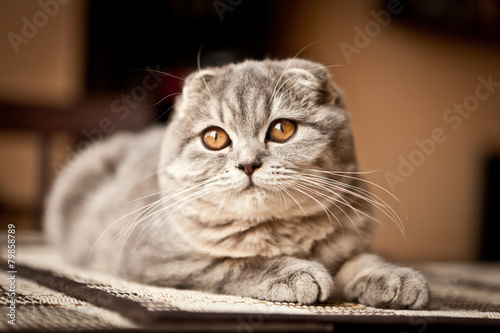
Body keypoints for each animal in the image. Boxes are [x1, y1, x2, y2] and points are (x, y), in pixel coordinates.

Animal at [45, 57, 430, 308]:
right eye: (214, 137)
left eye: (282, 129)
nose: (248, 164)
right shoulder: (157, 259)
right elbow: (233, 263)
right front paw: (295, 273)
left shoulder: (351, 240)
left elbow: (361, 260)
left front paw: (395, 278)